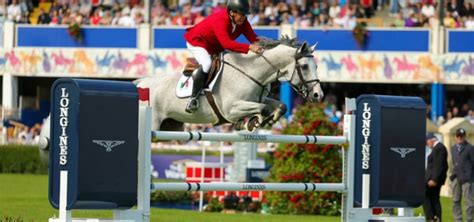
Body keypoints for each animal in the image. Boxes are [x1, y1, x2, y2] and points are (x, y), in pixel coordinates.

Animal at [135, 36, 324, 132]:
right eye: (304, 66)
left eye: (316, 66)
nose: (318, 95)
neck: (251, 71)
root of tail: (139, 83)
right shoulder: (231, 109)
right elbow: (262, 109)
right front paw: (253, 121)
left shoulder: (259, 99)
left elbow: (281, 106)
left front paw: (267, 121)